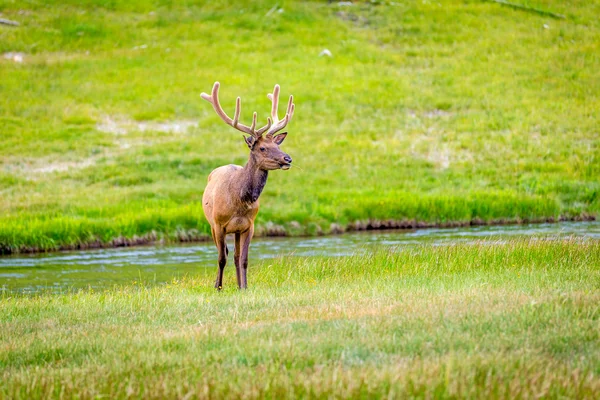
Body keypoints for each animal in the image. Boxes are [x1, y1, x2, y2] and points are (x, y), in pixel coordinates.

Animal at [202, 81, 296, 290]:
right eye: (262, 148)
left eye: (277, 145)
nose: (288, 159)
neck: (240, 201)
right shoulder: (219, 224)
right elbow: (221, 258)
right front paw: (218, 287)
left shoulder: (248, 225)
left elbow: (243, 259)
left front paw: (244, 287)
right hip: (211, 224)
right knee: (224, 254)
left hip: (236, 231)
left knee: (236, 256)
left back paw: (238, 285)